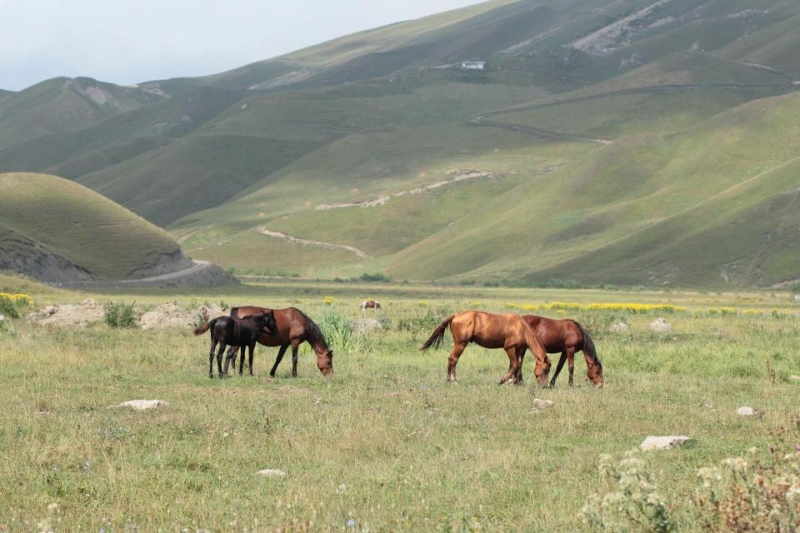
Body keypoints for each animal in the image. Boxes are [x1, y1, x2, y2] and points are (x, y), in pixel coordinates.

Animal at [418, 308, 552, 386]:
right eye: (545, 370)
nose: (544, 386)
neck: (520, 327)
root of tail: (456, 315)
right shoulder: (509, 348)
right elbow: (514, 365)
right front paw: (502, 381)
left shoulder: (518, 349)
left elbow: (517, 365)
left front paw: (515, 382)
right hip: (461, 344)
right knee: (453, 359)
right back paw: (454, 379)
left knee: (450, 358)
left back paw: (448, 379)